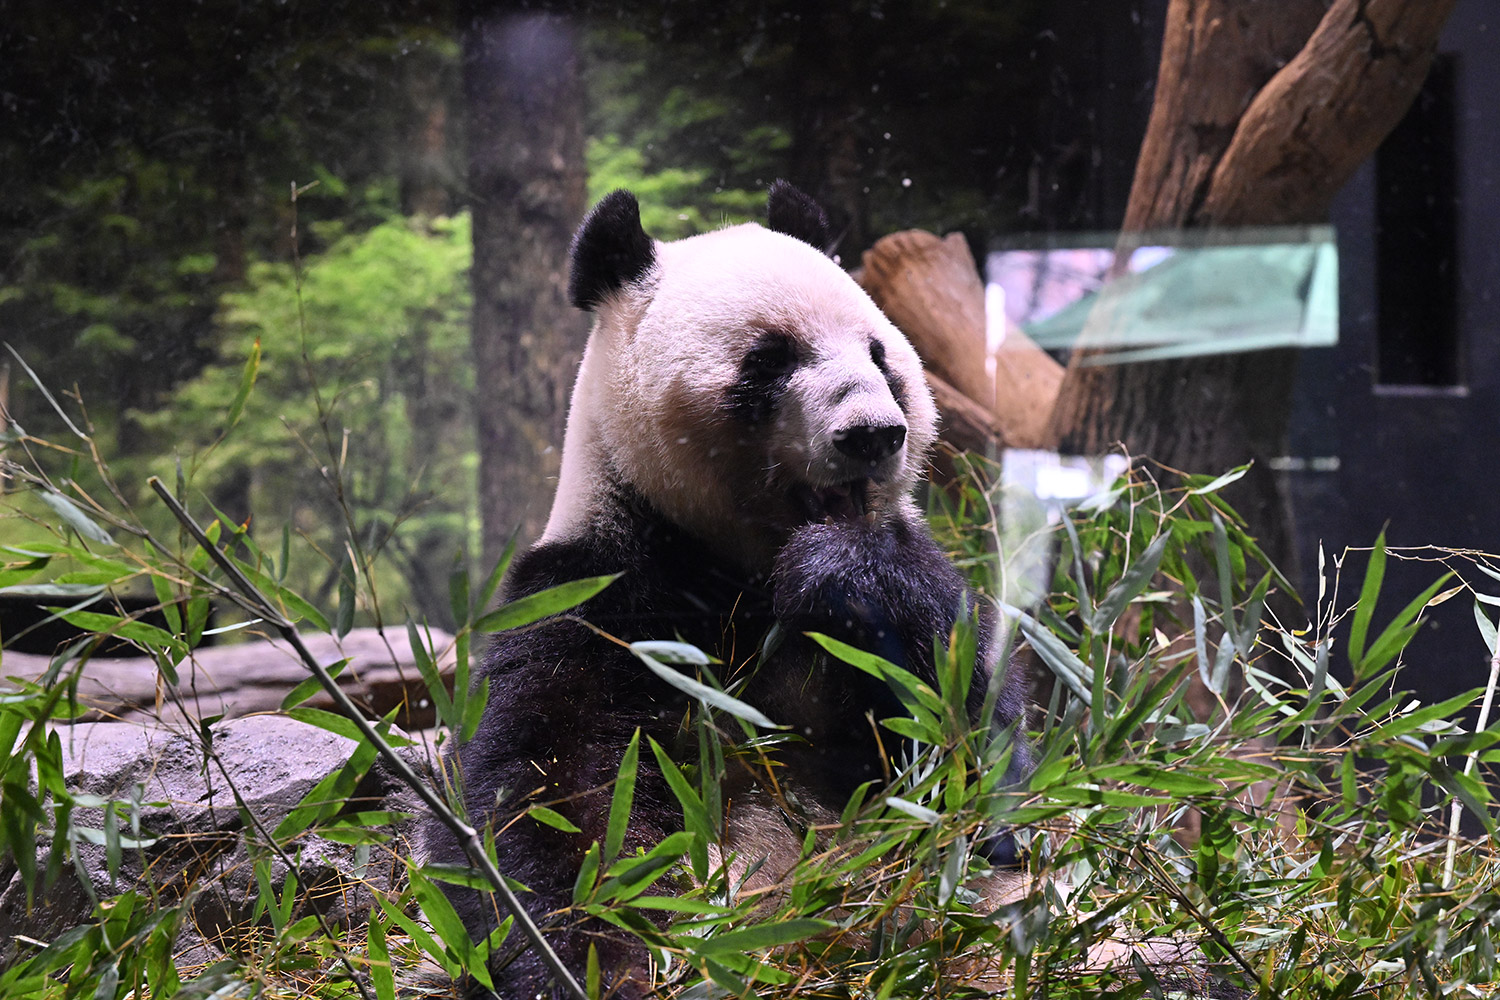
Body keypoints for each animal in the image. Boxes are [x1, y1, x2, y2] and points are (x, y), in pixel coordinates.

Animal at [424, 181, 1031, 999]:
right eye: (770, 360)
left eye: (880, 354)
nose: (873, 433)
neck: (741, 567)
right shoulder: (600, 596)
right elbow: (548, 790)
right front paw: (597, 956)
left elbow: (975, 747)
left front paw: (845, 571)